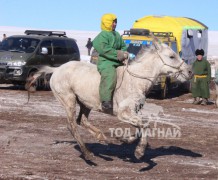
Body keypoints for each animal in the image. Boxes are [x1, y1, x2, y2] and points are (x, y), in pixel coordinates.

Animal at [27, 38, 191, 160]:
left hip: (86, 103)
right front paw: (139, 151)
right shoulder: (124, 113)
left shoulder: (133, 112)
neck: (135, 80)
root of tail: (57, 69)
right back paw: (87, 153)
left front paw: (126, 140)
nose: (189, 71)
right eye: (172, 56)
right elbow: (145, 125)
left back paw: (101, 137)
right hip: (68, 101)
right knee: (72, 125)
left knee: (82, 120)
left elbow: (140, 127)